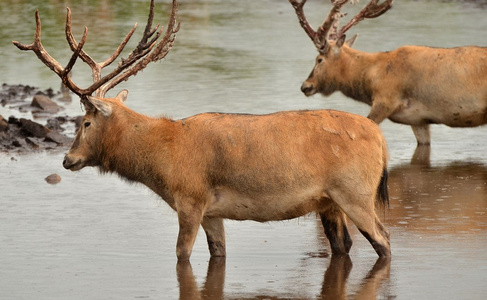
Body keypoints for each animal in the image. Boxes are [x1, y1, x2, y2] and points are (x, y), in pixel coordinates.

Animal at [14, 0, 392, 260]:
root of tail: (381, 140)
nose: (67, 159)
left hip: (355, 192)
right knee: (345, 246)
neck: (161, 161)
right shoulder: (213, 212)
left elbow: (181, 255)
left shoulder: (190, 200)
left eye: (86, 122)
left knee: (385, 242)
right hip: (329, 202)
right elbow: (218, 254)